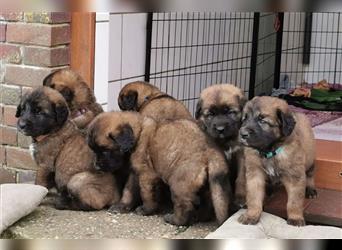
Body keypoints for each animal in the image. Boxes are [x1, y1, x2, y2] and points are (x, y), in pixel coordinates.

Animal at [88, 112, 232, 226]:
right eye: (94, 150)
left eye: (105, 151)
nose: (96, 166)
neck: (138, 134)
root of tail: (209, 151)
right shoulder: (135, 173)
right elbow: (128, 190)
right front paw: (122, 206)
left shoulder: (146, 175)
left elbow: (146, 194)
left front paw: (146, 210)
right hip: (205, 183)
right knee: (207, 200)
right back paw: (200, 217)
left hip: (179, 182)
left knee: (184, 204)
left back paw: (175, 220)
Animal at [238, 95, 316, 227]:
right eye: (245, 119)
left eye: (262, 120)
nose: (242, 134)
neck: (268, 151)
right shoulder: (255, 174)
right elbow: (254, 197)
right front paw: (251, 215)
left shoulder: (295, 176)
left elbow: (294, 201)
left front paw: (295, 218)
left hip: (310, 158)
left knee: (310, 173)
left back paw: (311, 189)